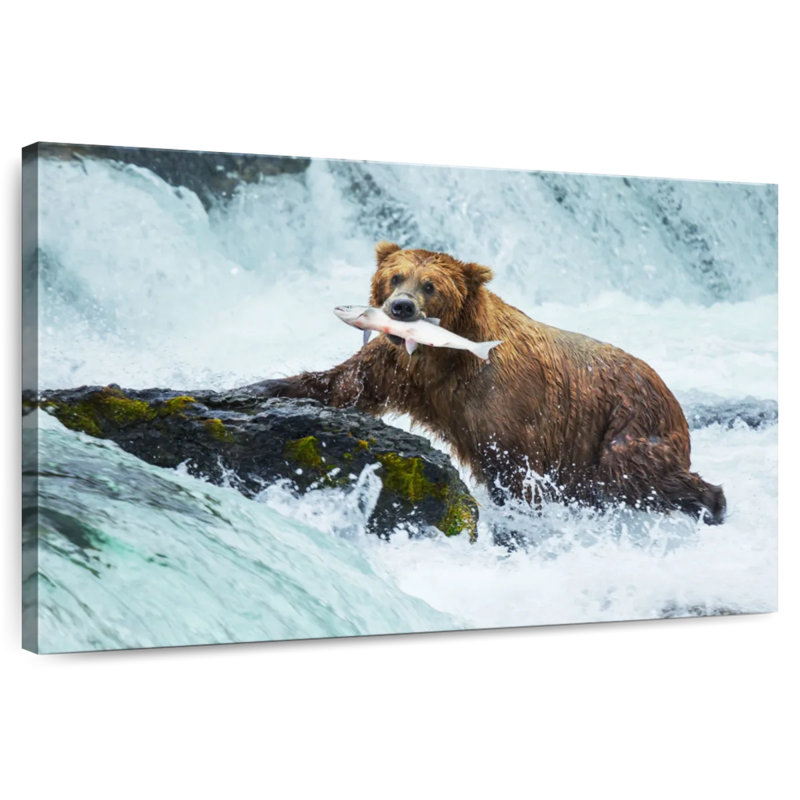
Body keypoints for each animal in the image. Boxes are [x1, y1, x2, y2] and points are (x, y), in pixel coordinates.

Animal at [251, 242, 726, 524]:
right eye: (395, 276)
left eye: (430, 285)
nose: (401, 307)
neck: (445, 356)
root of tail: (667, 390)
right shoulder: (398, 367)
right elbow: (344, 384)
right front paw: (262, 387)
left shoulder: (505, 399)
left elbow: (513, 465)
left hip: (625, 422)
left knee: (632, 474)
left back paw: (712, 501)